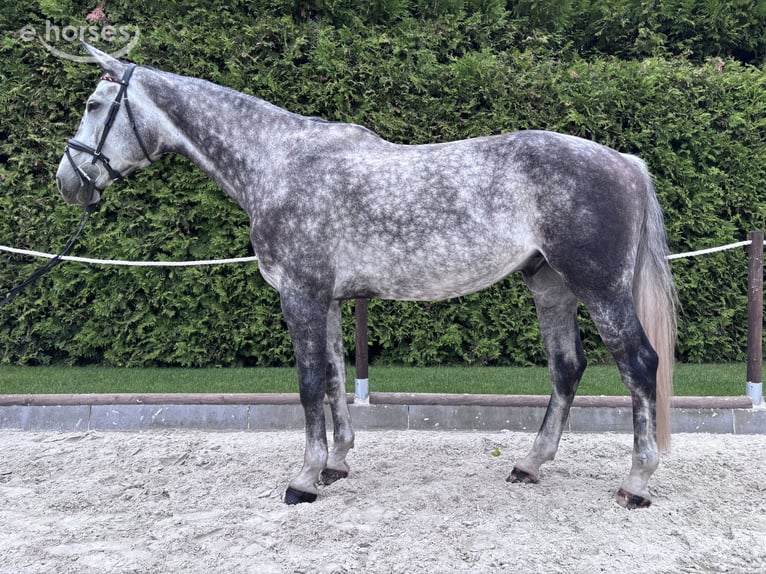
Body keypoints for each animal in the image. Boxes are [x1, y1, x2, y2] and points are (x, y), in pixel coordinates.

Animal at [56, 44, 677, 509]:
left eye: (93, 104)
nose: (68, 180)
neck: (279, 163)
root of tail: (626, 163)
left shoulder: (301, 296)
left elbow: (308, 383)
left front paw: (303, 480)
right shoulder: (328, 300)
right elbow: (333, 377)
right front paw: (336, 463)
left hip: (599, 288)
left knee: (639, 364)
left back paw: (636, 483)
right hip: (549, 284)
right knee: (567, 367)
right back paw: (530, 464)